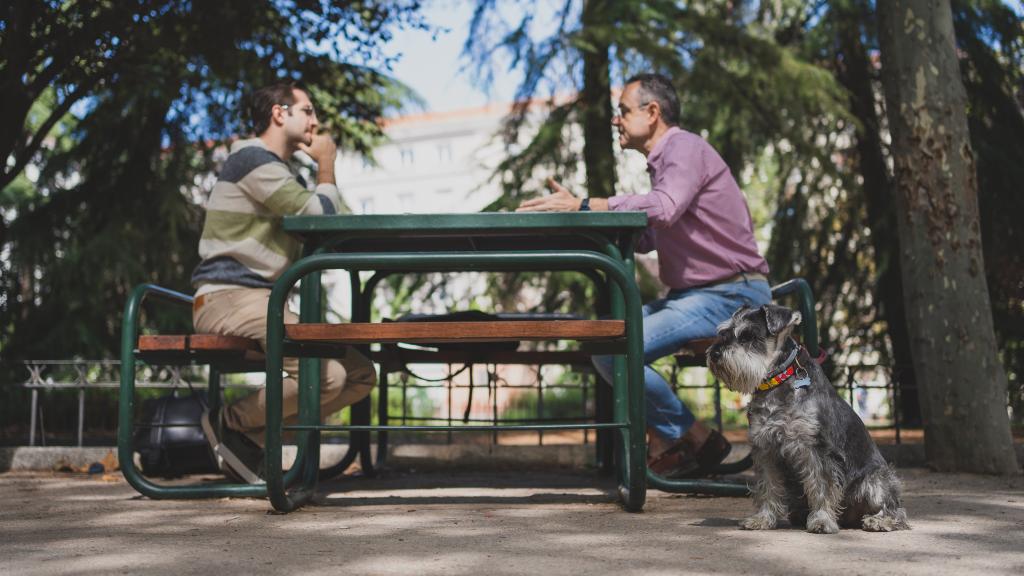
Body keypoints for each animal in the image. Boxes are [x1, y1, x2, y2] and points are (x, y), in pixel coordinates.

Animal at [704, 303, 913, 532]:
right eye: (723, 333)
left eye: (748, 336)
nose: (715, 353)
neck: (778, 382)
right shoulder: (765, 449)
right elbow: (767, 486)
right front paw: (762, 518)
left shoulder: (816, 448)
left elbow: (821, 486)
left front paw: (821, 520)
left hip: (875, 480)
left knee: (896, 509)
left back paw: (880, 520)